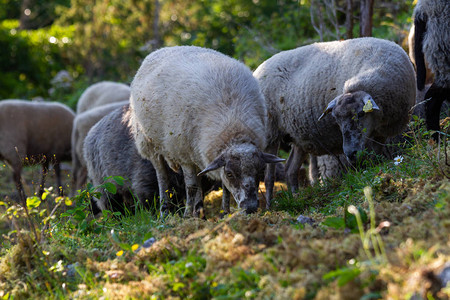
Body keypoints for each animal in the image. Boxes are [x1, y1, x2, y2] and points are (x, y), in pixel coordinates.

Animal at [130, 45, 284, 218]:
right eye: (230, 174)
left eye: (259, 171)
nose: (250, 207)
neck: (233, 125)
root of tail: (163, 49)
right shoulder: (184, 155)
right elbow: (191, 187)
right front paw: (187, 216)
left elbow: (223, 187)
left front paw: (225, 212)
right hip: (151, 144)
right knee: (163, 177)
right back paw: (165, 212)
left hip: (195, 150)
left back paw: (200, 213)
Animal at [255, 37, 416, 205]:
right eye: (336, 120)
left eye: (361, 114)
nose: (350, 152)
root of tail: (258, 69)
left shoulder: (380, 133)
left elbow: (376, 156)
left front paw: (378, 171)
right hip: (270, 132)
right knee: (269, 177)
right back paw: (269, 204)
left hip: (297, 136)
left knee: (290, 170)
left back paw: (296, 198)